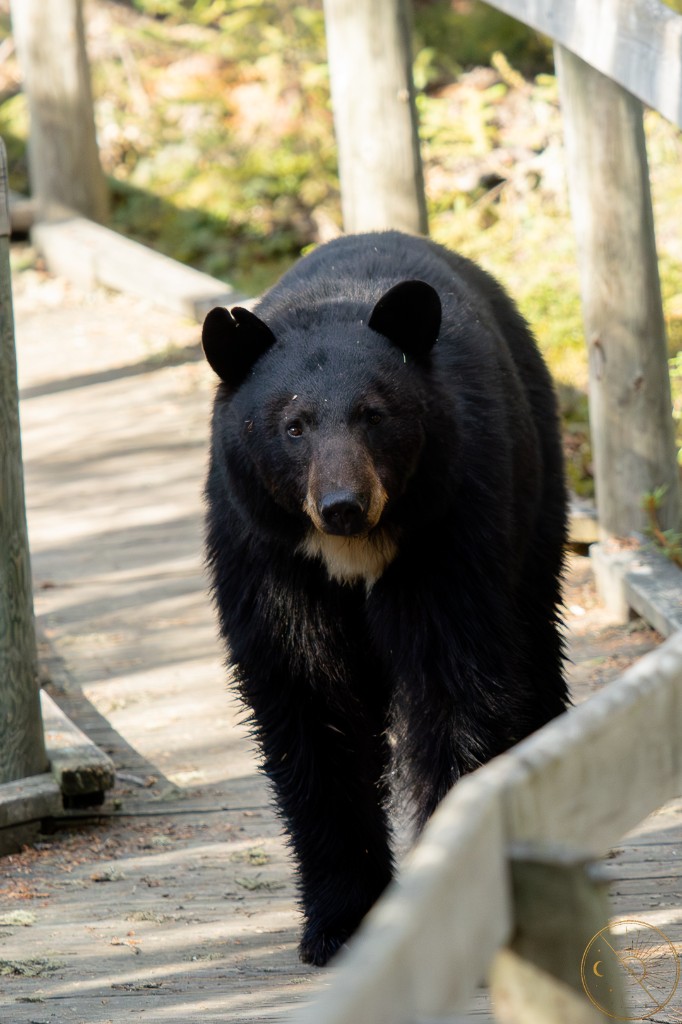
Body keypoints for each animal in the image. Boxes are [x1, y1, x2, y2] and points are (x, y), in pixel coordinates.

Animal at [202, 230, 568, 967]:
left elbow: (455, 677)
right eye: (293, 426)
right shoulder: (266, 554)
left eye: (374, 415)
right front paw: (340, 921)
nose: (344, 504)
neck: (352, 551)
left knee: (533, 627)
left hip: (536, 481)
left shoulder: (451, 523)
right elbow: (308, 698)